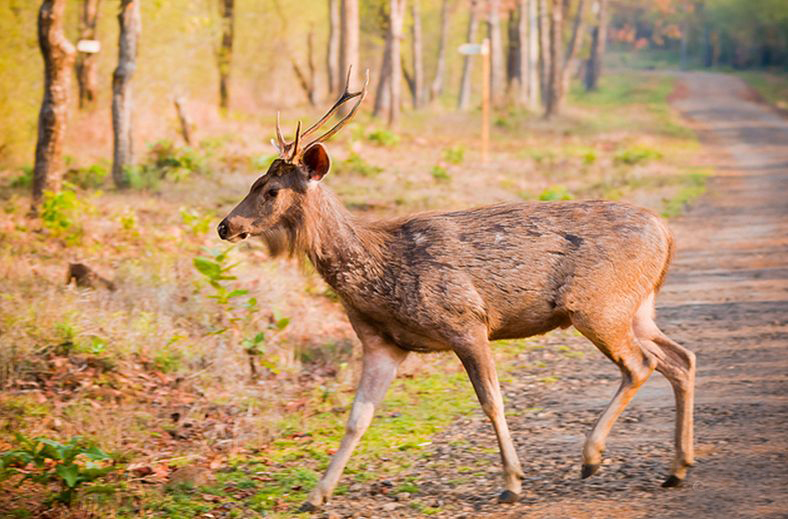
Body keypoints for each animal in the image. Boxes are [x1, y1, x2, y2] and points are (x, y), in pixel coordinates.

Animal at [217, 69, 696, 512]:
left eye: (271, 189)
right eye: (255, 182)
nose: (225, 225)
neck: (380, 277)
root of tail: (667, 233)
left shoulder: (467, 321)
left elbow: (492, 403)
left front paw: (512, 482)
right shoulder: (382, 343)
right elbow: (357, 418)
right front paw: (316, 496)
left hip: (598, 305)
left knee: (641, 364)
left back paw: (593, 458)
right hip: (637, 306)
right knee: (680, 358)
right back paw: (677, 467)